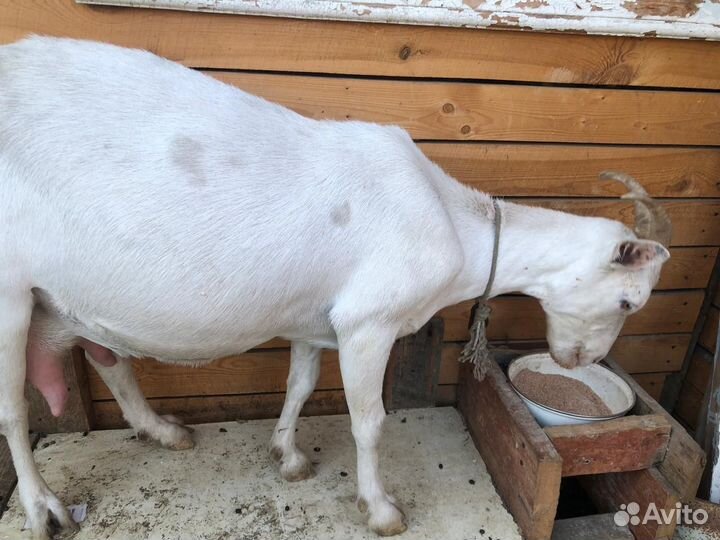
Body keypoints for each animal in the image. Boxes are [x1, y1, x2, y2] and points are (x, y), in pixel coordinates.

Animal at [0, 37, 670, 539]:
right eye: (629, 300)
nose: (577, 360)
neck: (452, 222)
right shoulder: (367, 322)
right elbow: (369, 422)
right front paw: (382, 510)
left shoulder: (314, 321)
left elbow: (297, 387)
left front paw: (288, 456)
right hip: (8, 293)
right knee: (12, 410)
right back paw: (44, 510)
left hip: (69, 303)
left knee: (107, 356)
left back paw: (163, 431)